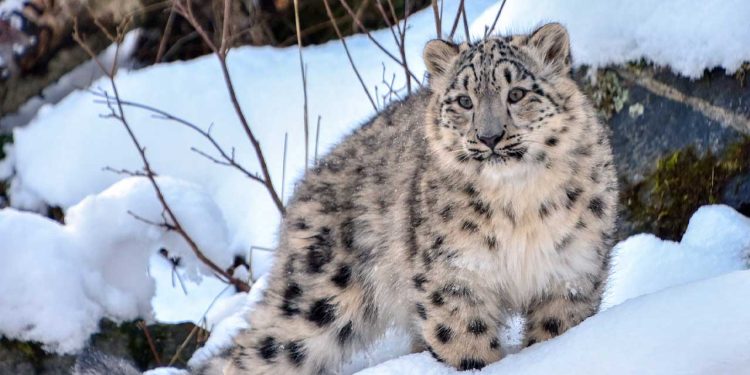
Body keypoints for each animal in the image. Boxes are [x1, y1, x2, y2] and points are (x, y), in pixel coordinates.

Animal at [76, 23, 620, 375]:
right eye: (464, 100)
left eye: (517, 93)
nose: (488, 137)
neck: (519, 208)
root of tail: (304, 186)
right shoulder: (452, 281)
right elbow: (467, 346)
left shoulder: (571, 275)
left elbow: (558, 333)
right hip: (317, 299)